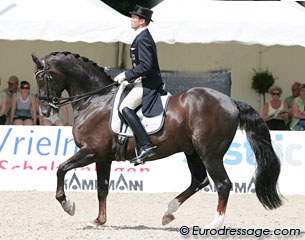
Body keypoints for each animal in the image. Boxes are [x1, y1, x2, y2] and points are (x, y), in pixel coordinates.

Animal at [30, 51, 280, 229]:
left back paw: (214, 225)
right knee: (199, 180)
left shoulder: (90, 151)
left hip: (210, 153)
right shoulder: (102, 156)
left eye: (43, 77)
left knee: (223, 184)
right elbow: (102, 188)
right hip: (192, 151)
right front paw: (98, 221)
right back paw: (168, 212)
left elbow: (61, 169)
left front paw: (68, 205)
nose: (45, 111)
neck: (95, 98)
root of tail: (230, 101)